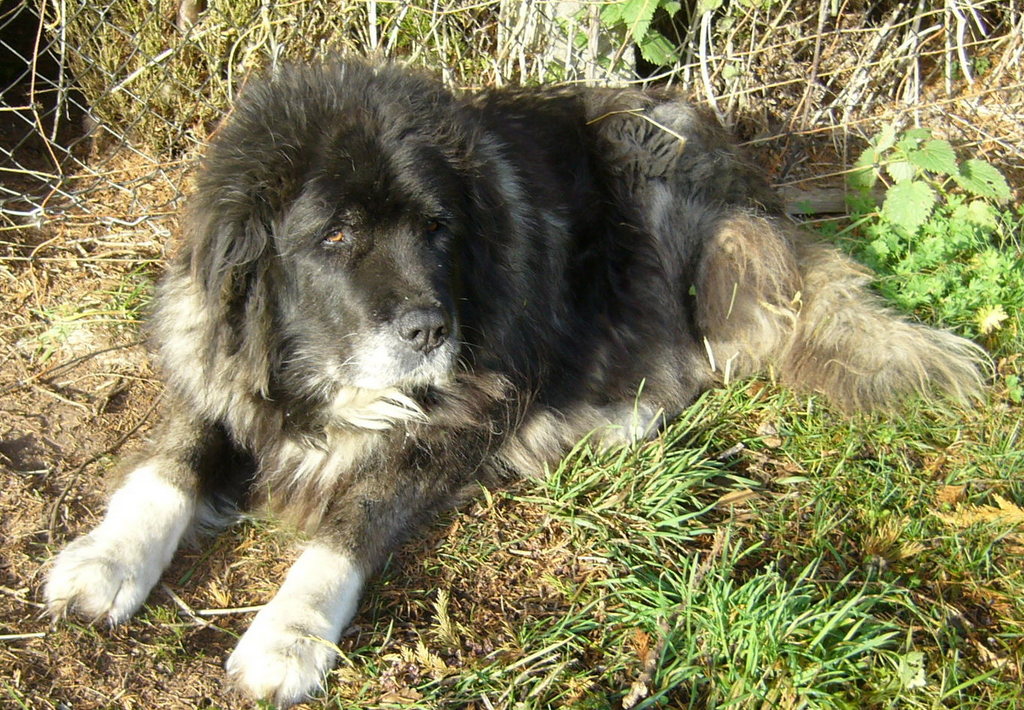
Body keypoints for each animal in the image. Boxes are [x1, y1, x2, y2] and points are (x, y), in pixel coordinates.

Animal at [44, 60, 985, 706]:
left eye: (436, 229)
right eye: (336, 236)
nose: (430, 330)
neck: (318, 378)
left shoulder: (449, 430)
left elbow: (348, 528)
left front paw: (289, 635)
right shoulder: (219, 369)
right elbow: (170, 461)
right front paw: (107, 558)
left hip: (653, 172)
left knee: (701, 343)